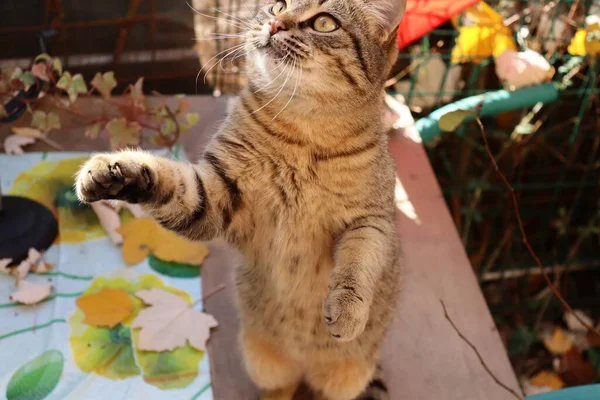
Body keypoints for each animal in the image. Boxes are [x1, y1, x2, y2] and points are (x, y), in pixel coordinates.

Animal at [75, 1, 406, 398]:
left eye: (324, 23)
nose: (275, 24)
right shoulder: (215, 195)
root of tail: (303, 369)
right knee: (280, 389)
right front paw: (113, 172)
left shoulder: (372, 218)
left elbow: (359, 264)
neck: (302, 131)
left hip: (345, 379)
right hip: (263, 360)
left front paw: (348, 310)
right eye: (278, 5)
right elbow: (166, 180)